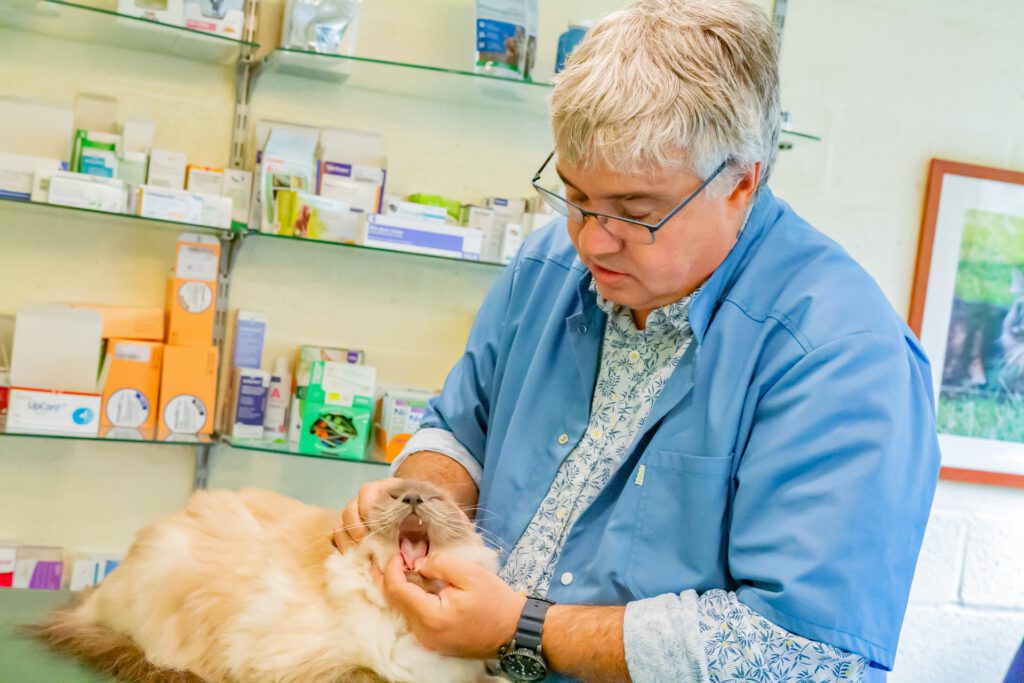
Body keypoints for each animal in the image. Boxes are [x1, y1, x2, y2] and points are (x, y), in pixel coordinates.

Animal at [37, 481, 501, 683]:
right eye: (395, 496)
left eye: (435, 499)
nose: (414, 498)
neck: (399, 618)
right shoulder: (315, 668)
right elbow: (371, 676)